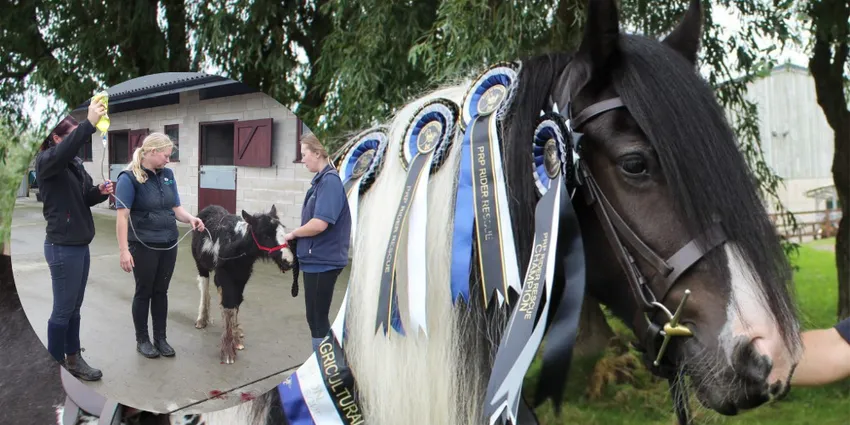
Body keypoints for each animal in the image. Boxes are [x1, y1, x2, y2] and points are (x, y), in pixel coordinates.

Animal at [191, 205, 299, 365]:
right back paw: (201, 320)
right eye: (265, 235)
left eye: (282, 230)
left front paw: (236, 338)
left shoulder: (241, 278)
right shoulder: (225, 275)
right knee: (205, 287)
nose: (288, 261)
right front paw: (228, 352)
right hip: (201, 265)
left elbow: (235, 304)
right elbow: (229, 305)